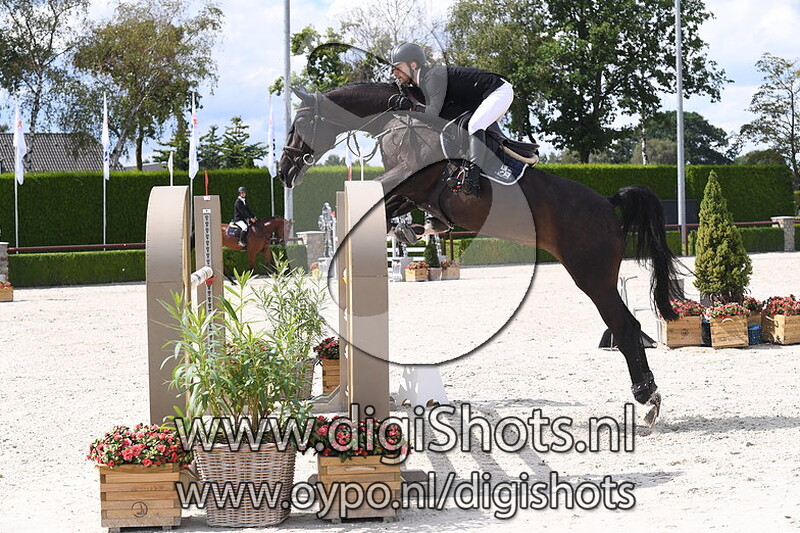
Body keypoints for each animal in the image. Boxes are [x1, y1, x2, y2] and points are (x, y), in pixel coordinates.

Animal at [278, 82, 684, 426]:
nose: (284, 171)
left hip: (591, 274)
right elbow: (392, 207)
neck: (401, 119)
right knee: (625, 325)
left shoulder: (408, 177)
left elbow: (381, 194)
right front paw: (410, 229)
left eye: (299, 122)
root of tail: (606, 202)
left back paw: (647, 397)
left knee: (624, 326)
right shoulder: (412, 191)